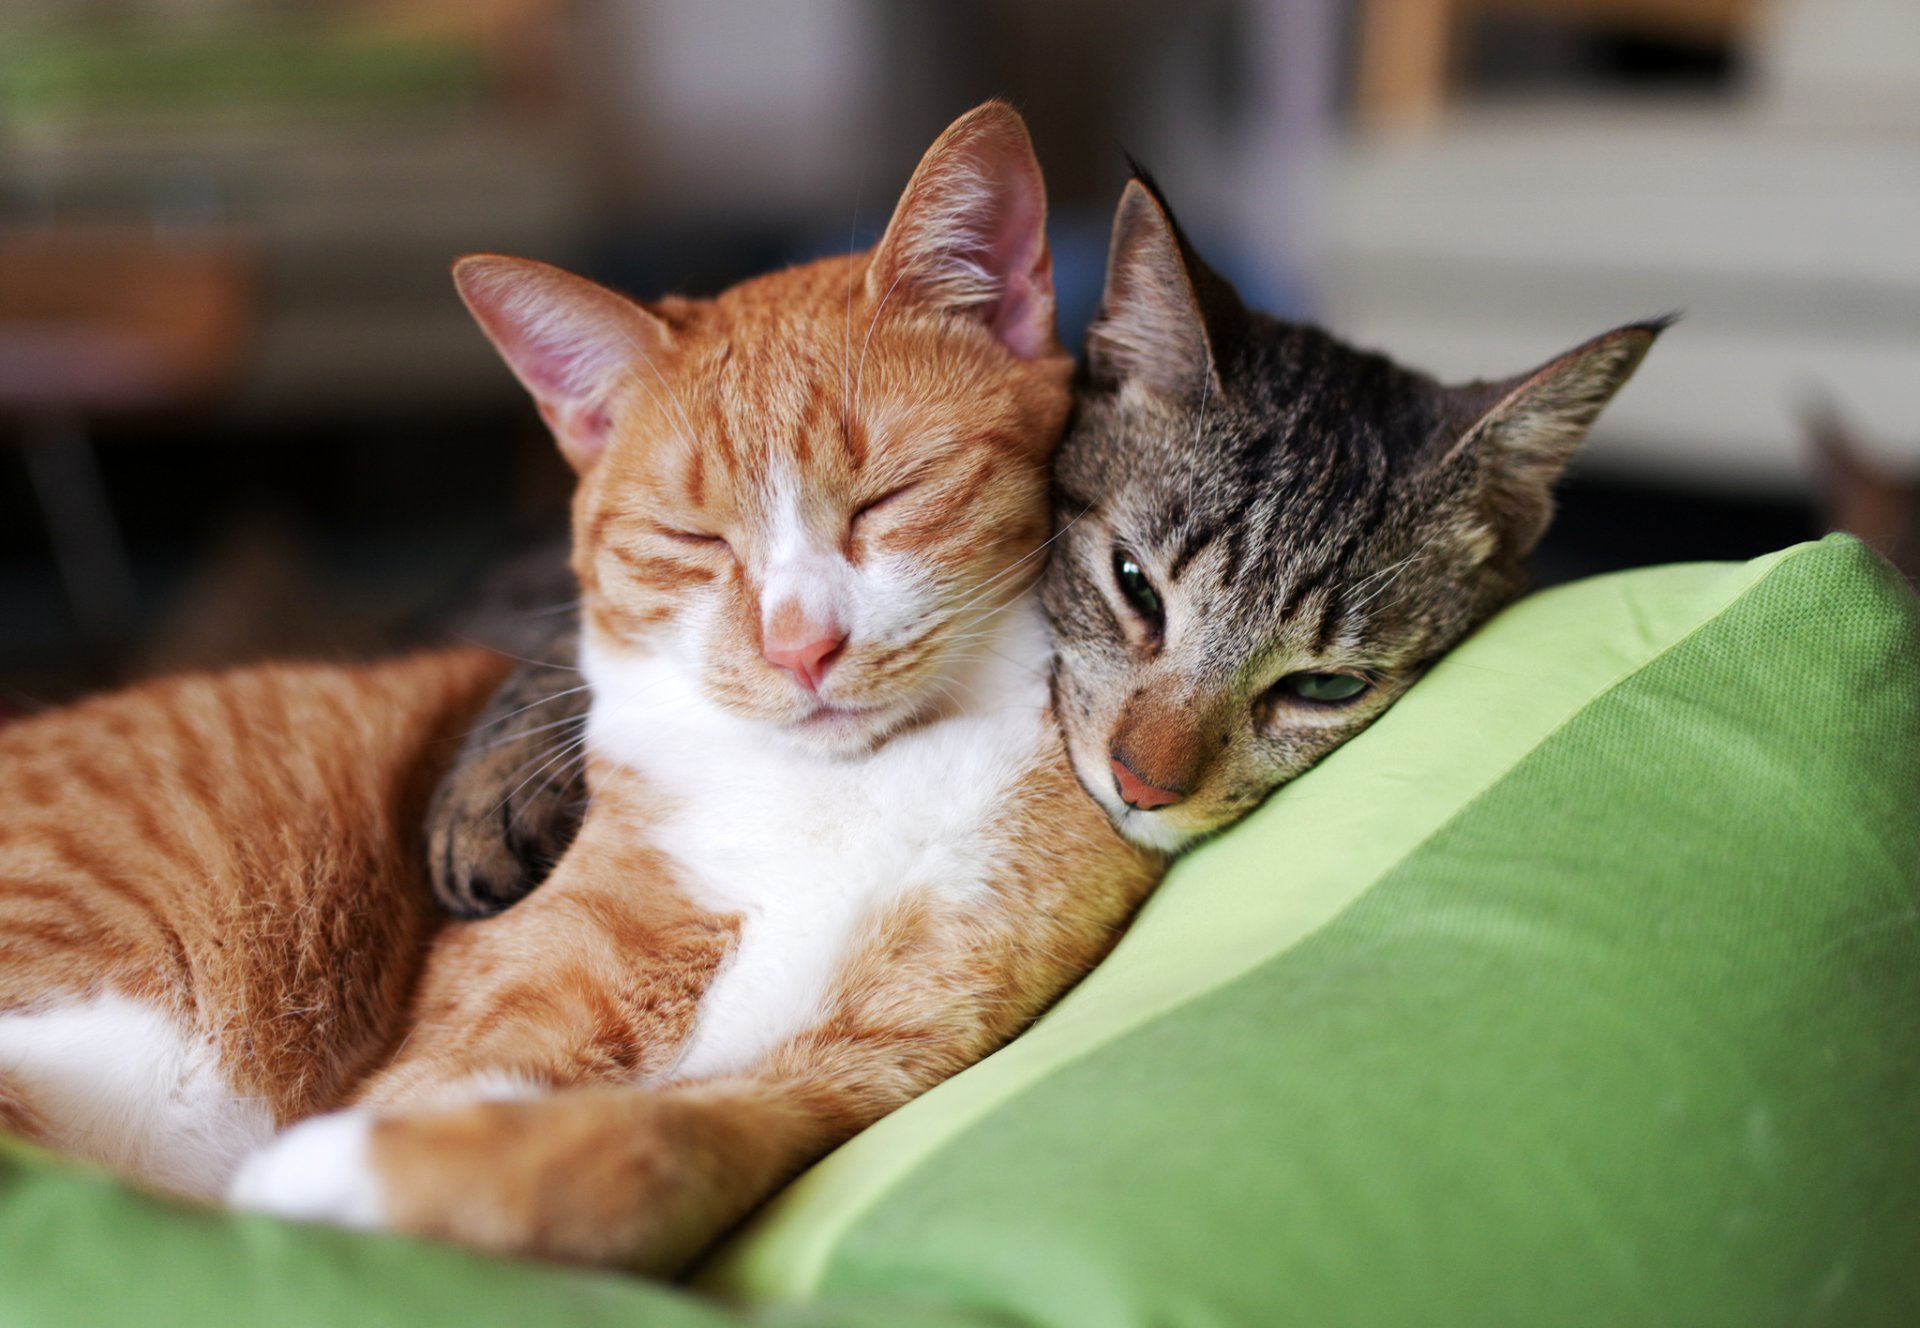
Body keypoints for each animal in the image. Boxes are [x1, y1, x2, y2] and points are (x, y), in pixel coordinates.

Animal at [0, 101, 1152, 1266]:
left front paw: (361, 1177)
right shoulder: (492, 1019)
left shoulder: (857, 1067)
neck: (842, 789)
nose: (800, 646)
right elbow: (472, 1085)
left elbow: (668, 1146)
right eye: (692, 538)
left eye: (892, 497)